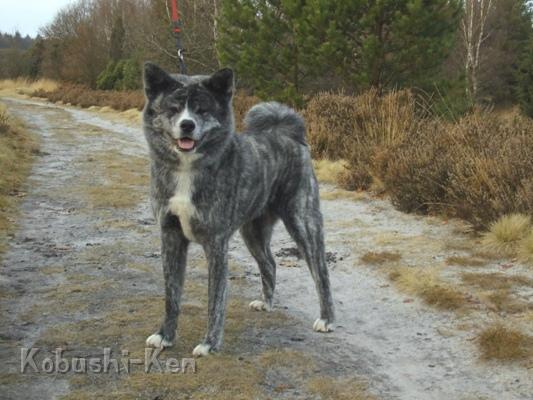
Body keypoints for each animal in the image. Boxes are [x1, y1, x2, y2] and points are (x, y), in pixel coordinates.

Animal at [141, 62, 332, 356]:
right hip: (253, 232)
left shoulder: (216, 243)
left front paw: (209, 343)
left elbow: (215, 300)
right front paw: (165, 336)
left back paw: (326, 319)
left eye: (202, 110)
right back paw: (266, 303)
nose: (187, 125)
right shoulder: (170, 236)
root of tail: (287, 133)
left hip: (303, 222)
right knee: (270, 263)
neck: (188, 168)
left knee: (321, 271)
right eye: (172, 109)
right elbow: (171, 296)